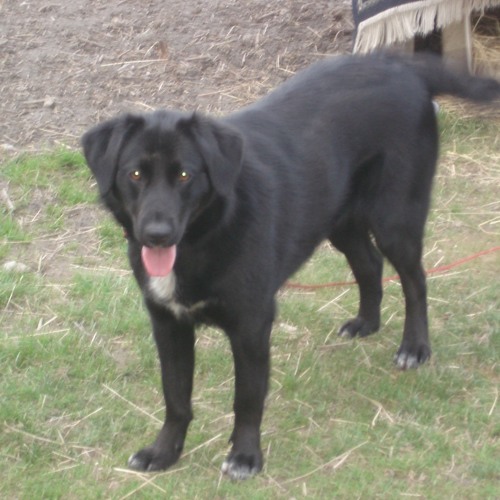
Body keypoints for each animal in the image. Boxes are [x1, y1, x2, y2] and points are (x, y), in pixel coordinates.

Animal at [81, 52, 496, 478]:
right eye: (135, 174)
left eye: (184, 175)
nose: (157, 235)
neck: (206, 234)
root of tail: (402, 66)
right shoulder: (168, 323)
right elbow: (175, 396)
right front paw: (164, 452)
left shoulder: (252, 325)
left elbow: (247, 398)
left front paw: (245, 456)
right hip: (339, 218)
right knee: (369, 263)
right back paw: (366, 322)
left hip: (394, 218)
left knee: (415, 281)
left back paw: (414, 347)